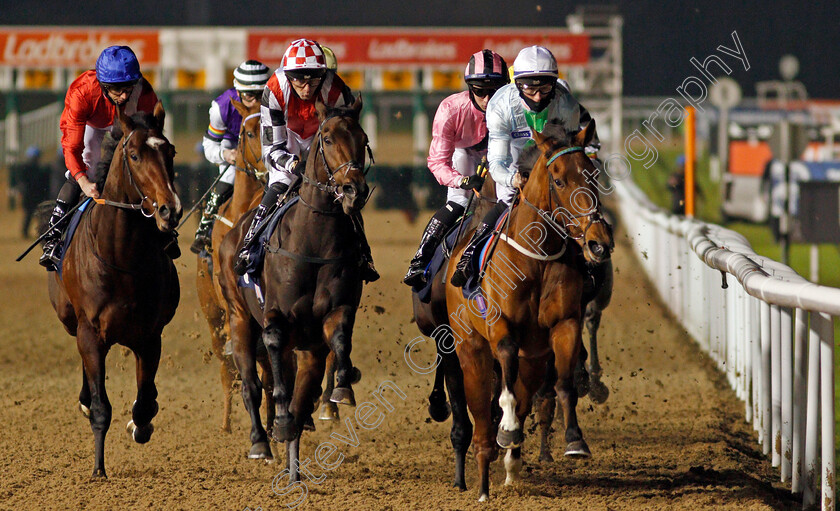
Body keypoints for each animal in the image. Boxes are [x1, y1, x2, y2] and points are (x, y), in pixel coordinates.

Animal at [48, 104, 181, 480]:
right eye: (134, 155)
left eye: (170, 151)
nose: (170, 209)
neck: (122, 257)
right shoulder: (91, 333)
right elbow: (100, 406)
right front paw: (98, 468)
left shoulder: (150, 336)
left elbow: (145, 398)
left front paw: (141, 425)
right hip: (71, 321)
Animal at [220, 95, 370, 464]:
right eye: (327, 138)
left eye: (363, 140)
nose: (353, 190)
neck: (313, 240)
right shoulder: (276, 315)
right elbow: (274, 350)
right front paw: (281, 420)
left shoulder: (336, 310)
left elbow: (340, 339)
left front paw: (342, 387)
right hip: (238, 316)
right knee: (251, 383)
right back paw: (261, 440)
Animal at [442, 122, 612, 502]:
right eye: (559, 180)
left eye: (593, 175)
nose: (598, 242)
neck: (538, 258)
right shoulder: (500, 328)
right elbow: (504, 386)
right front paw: (507, 427)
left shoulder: (563, 325)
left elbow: (564, 383)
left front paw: (575, 440)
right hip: (470, 351)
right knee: (481, 420)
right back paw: (483, 483)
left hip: (532, 362)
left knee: (524, 397)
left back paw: (511, 467)